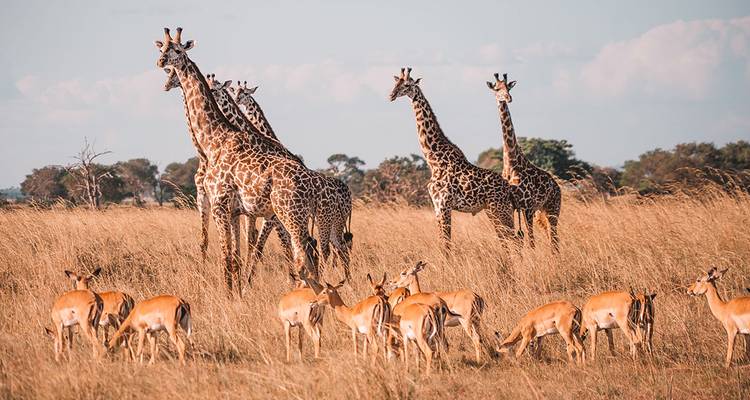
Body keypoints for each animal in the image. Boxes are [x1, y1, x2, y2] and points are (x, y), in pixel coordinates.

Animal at [155, 27, 320, 294]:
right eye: (162, 49)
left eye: (178, 50)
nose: (161, 63)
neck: (212, 141)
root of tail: (312, 183)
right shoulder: (233, 211)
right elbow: (235, 255)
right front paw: (239, 293)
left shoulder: (220, 206)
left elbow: (228, 256)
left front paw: (231, 296)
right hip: (291, 216)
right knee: (309, 254)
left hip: (286, 215)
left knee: (301, 257)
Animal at [205, 74, 352, 281]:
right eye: (235, 92)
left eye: (245, 93)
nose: (238, 100)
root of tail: (348, 193)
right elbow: (260, 243)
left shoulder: (270, 215)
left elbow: (263, 245)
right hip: (330, 221)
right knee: (337, 248)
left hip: (329, 219)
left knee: (330, 249)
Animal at [389, 67, 517, 251]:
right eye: (395, 83)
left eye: (407, 85)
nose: (391, 95)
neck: (434, 160)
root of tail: (508, 188)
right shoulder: (436, 207)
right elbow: (443, 243)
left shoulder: (444, 205)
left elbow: (446, 245)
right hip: (492, 210)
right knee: (506, 240)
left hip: (500, 208)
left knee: (515, 239)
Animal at [487, 73, 561, 251]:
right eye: (497, 89)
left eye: (509, 87)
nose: (508, 98)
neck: (511, 163)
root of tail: (558, 187)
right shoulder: (515, 206)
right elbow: (518, 238)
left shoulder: (527, 206)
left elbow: (531, 241)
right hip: (542, 212)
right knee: (551, 237)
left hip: (553, 209)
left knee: (554, 239)